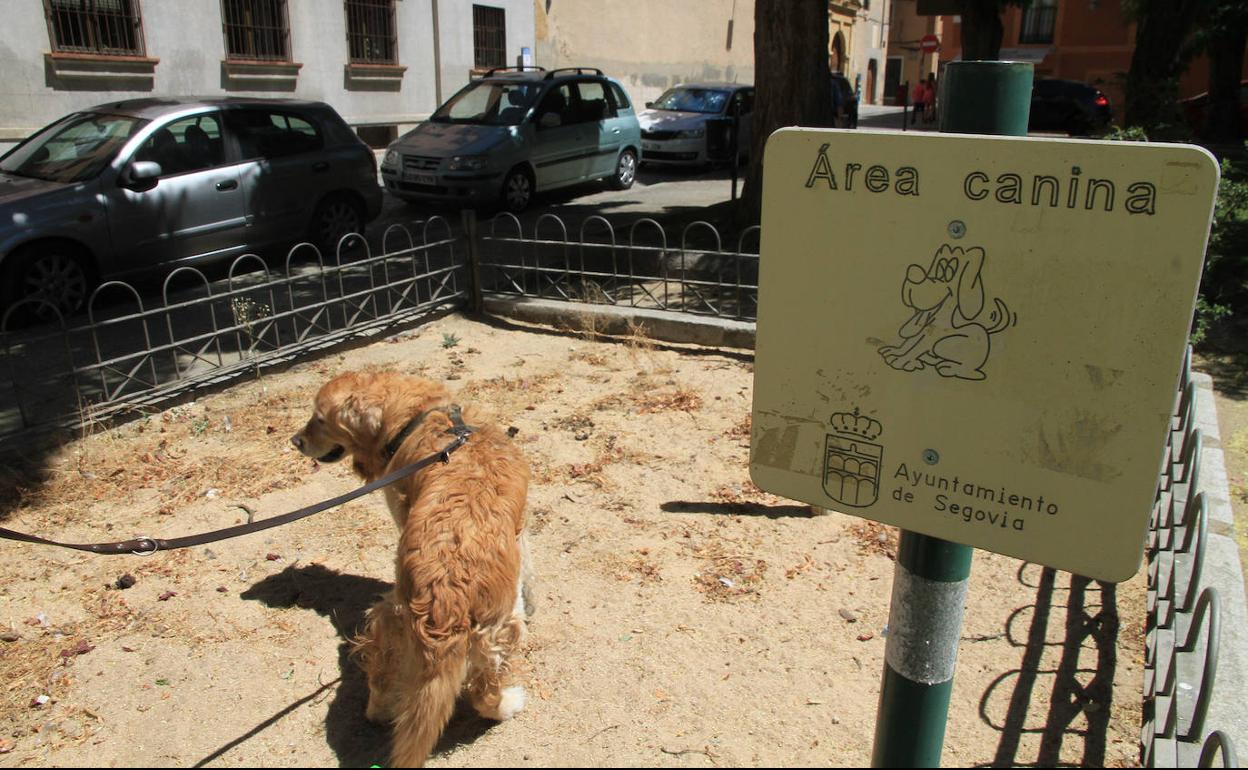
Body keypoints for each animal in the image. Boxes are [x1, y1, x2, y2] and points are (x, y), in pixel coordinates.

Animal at [290, 371, 531, 763]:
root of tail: (443, 610)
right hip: (496, 633)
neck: (420, 417)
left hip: (394, 622)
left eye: (320, 419)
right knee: (483, 695)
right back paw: (510, 703)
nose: (295, 441)